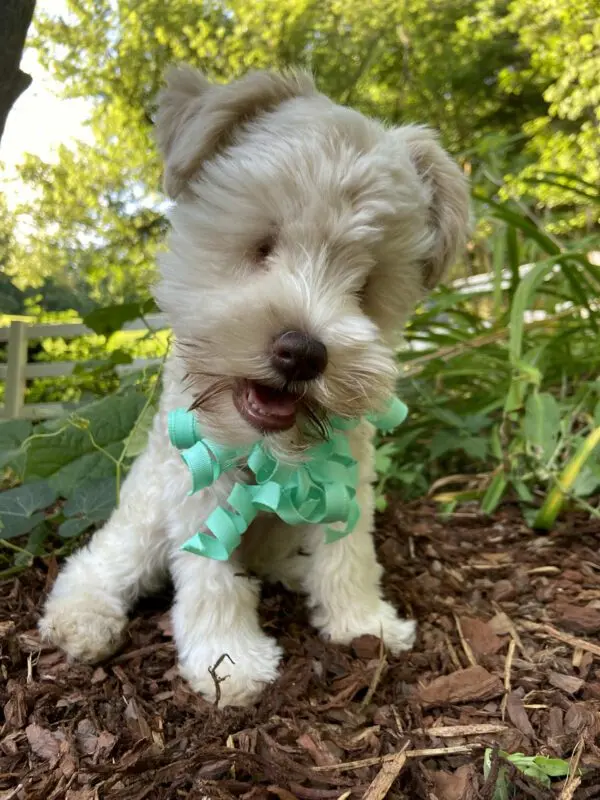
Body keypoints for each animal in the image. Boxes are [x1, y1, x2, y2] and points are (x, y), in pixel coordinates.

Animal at [39, 67, 472, 708]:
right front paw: (230, 662)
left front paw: (362, 622)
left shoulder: (347, 478)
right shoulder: (197, 483)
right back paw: (83, 617)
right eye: (262, 245)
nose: (303, 352)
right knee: (102, 563)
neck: (268, 451)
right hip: (142, 518)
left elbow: (348, 553)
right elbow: (212, 578)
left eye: (366, 284)